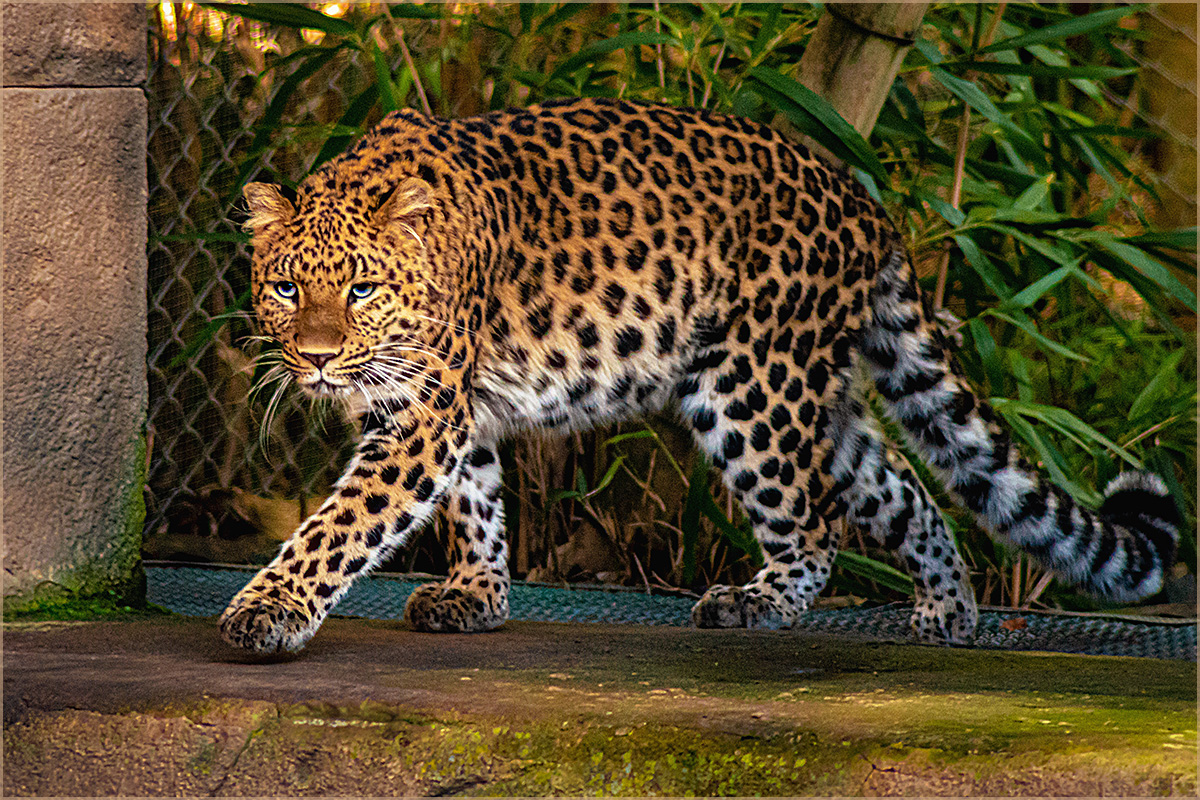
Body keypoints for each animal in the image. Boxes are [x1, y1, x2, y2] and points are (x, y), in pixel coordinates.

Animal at [218, 97, 1180, 652]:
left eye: (361, 288)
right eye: (286, 286)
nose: (316, 357)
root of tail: (864, 201)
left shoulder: (424, 412)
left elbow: (347, 521)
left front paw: (269, 610)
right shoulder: (450, 408)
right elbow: (474, 503)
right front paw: (476, 598)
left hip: (751, 382)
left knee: (817, 519)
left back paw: (757, 605)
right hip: (812, 389)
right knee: (897, 482)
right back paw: (948, 611)